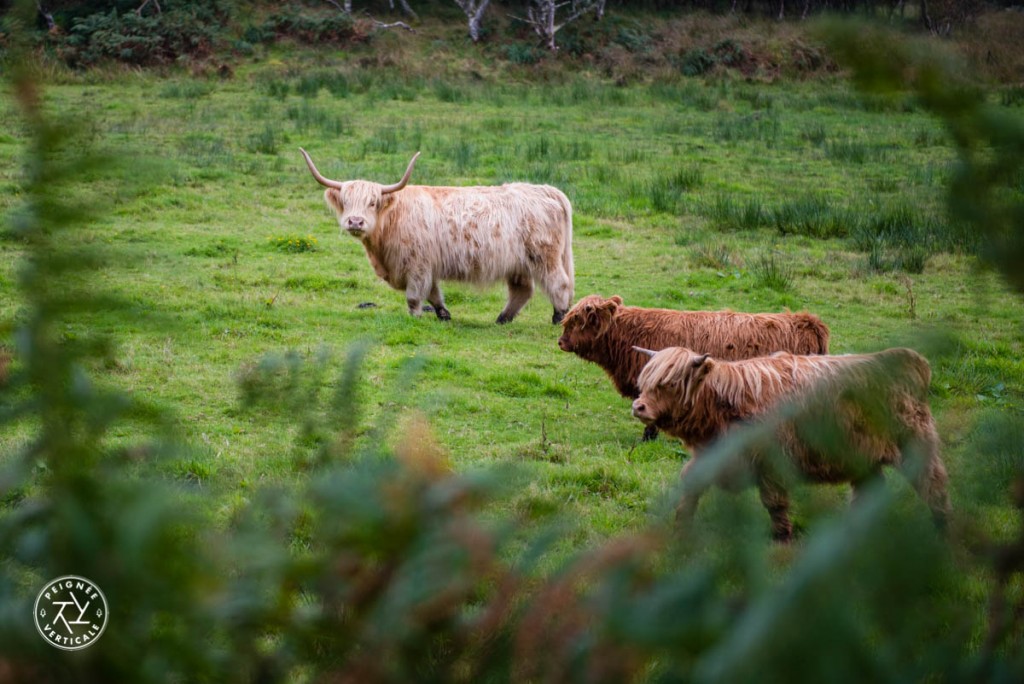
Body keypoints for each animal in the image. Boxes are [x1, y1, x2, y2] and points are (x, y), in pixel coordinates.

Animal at [630, 348, 950, 540]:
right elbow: (691, 484)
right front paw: (681, 528)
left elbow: (774, 502)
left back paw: (943, 529)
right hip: (862, 456)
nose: (638, 406)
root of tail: (910, 360)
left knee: (933, 483)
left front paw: (782, 538)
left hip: (914, 447)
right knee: (868, 492)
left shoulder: (772, 462)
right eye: (645, 381)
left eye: (670, 383)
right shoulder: (712, 456)